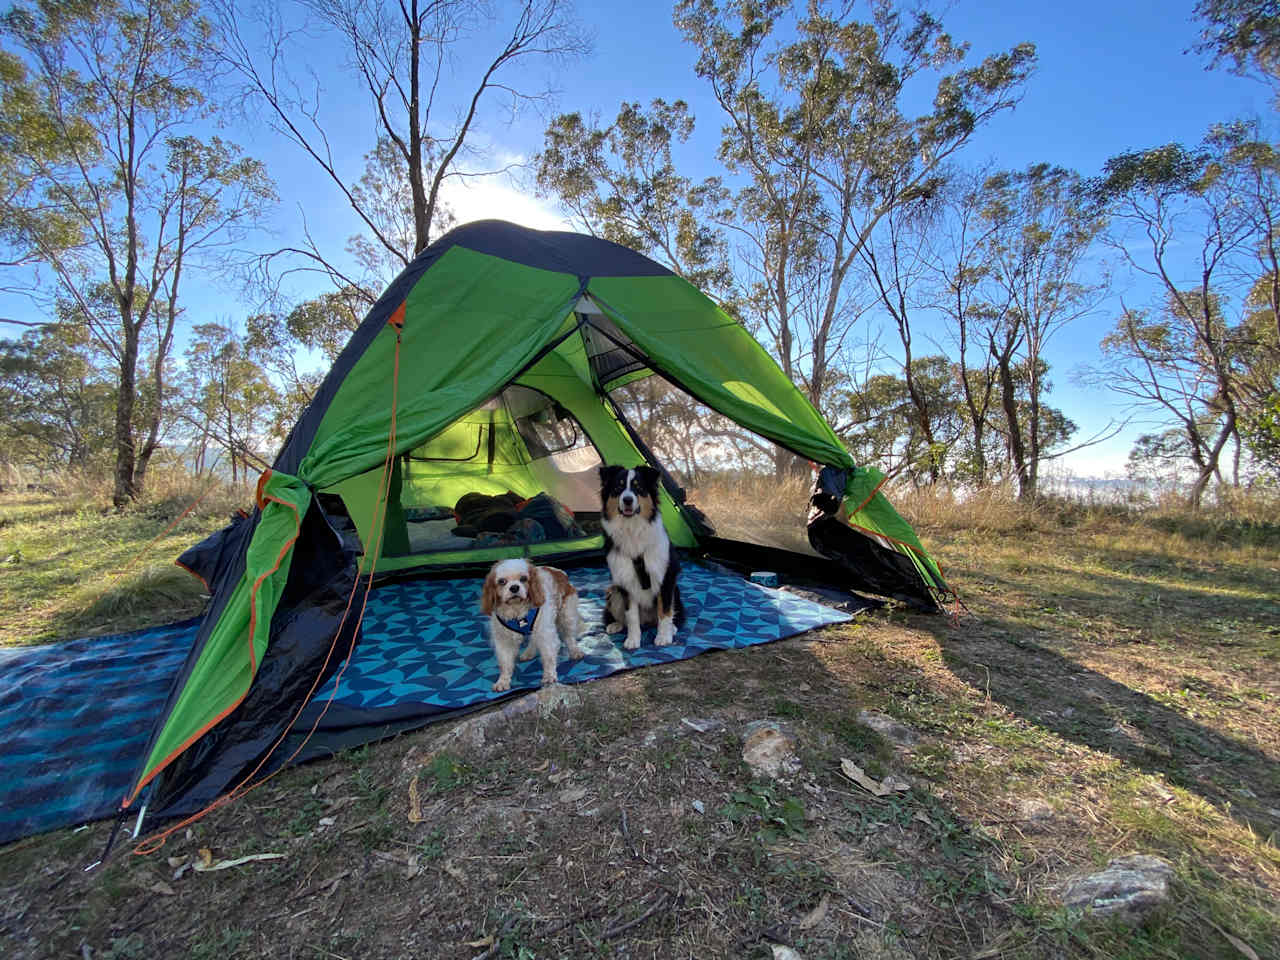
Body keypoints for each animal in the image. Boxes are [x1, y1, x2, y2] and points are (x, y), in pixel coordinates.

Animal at [596, 463, 680, 650]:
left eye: (639, 488)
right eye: (618, 488)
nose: (628, 500)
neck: (632, 529)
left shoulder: (665, 576)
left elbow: (664, 611)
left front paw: (664, 637)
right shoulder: (625, 581)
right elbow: (631, 616)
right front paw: (633, 640)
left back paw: (672, 628)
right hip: (614, 590)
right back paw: (615, 625)